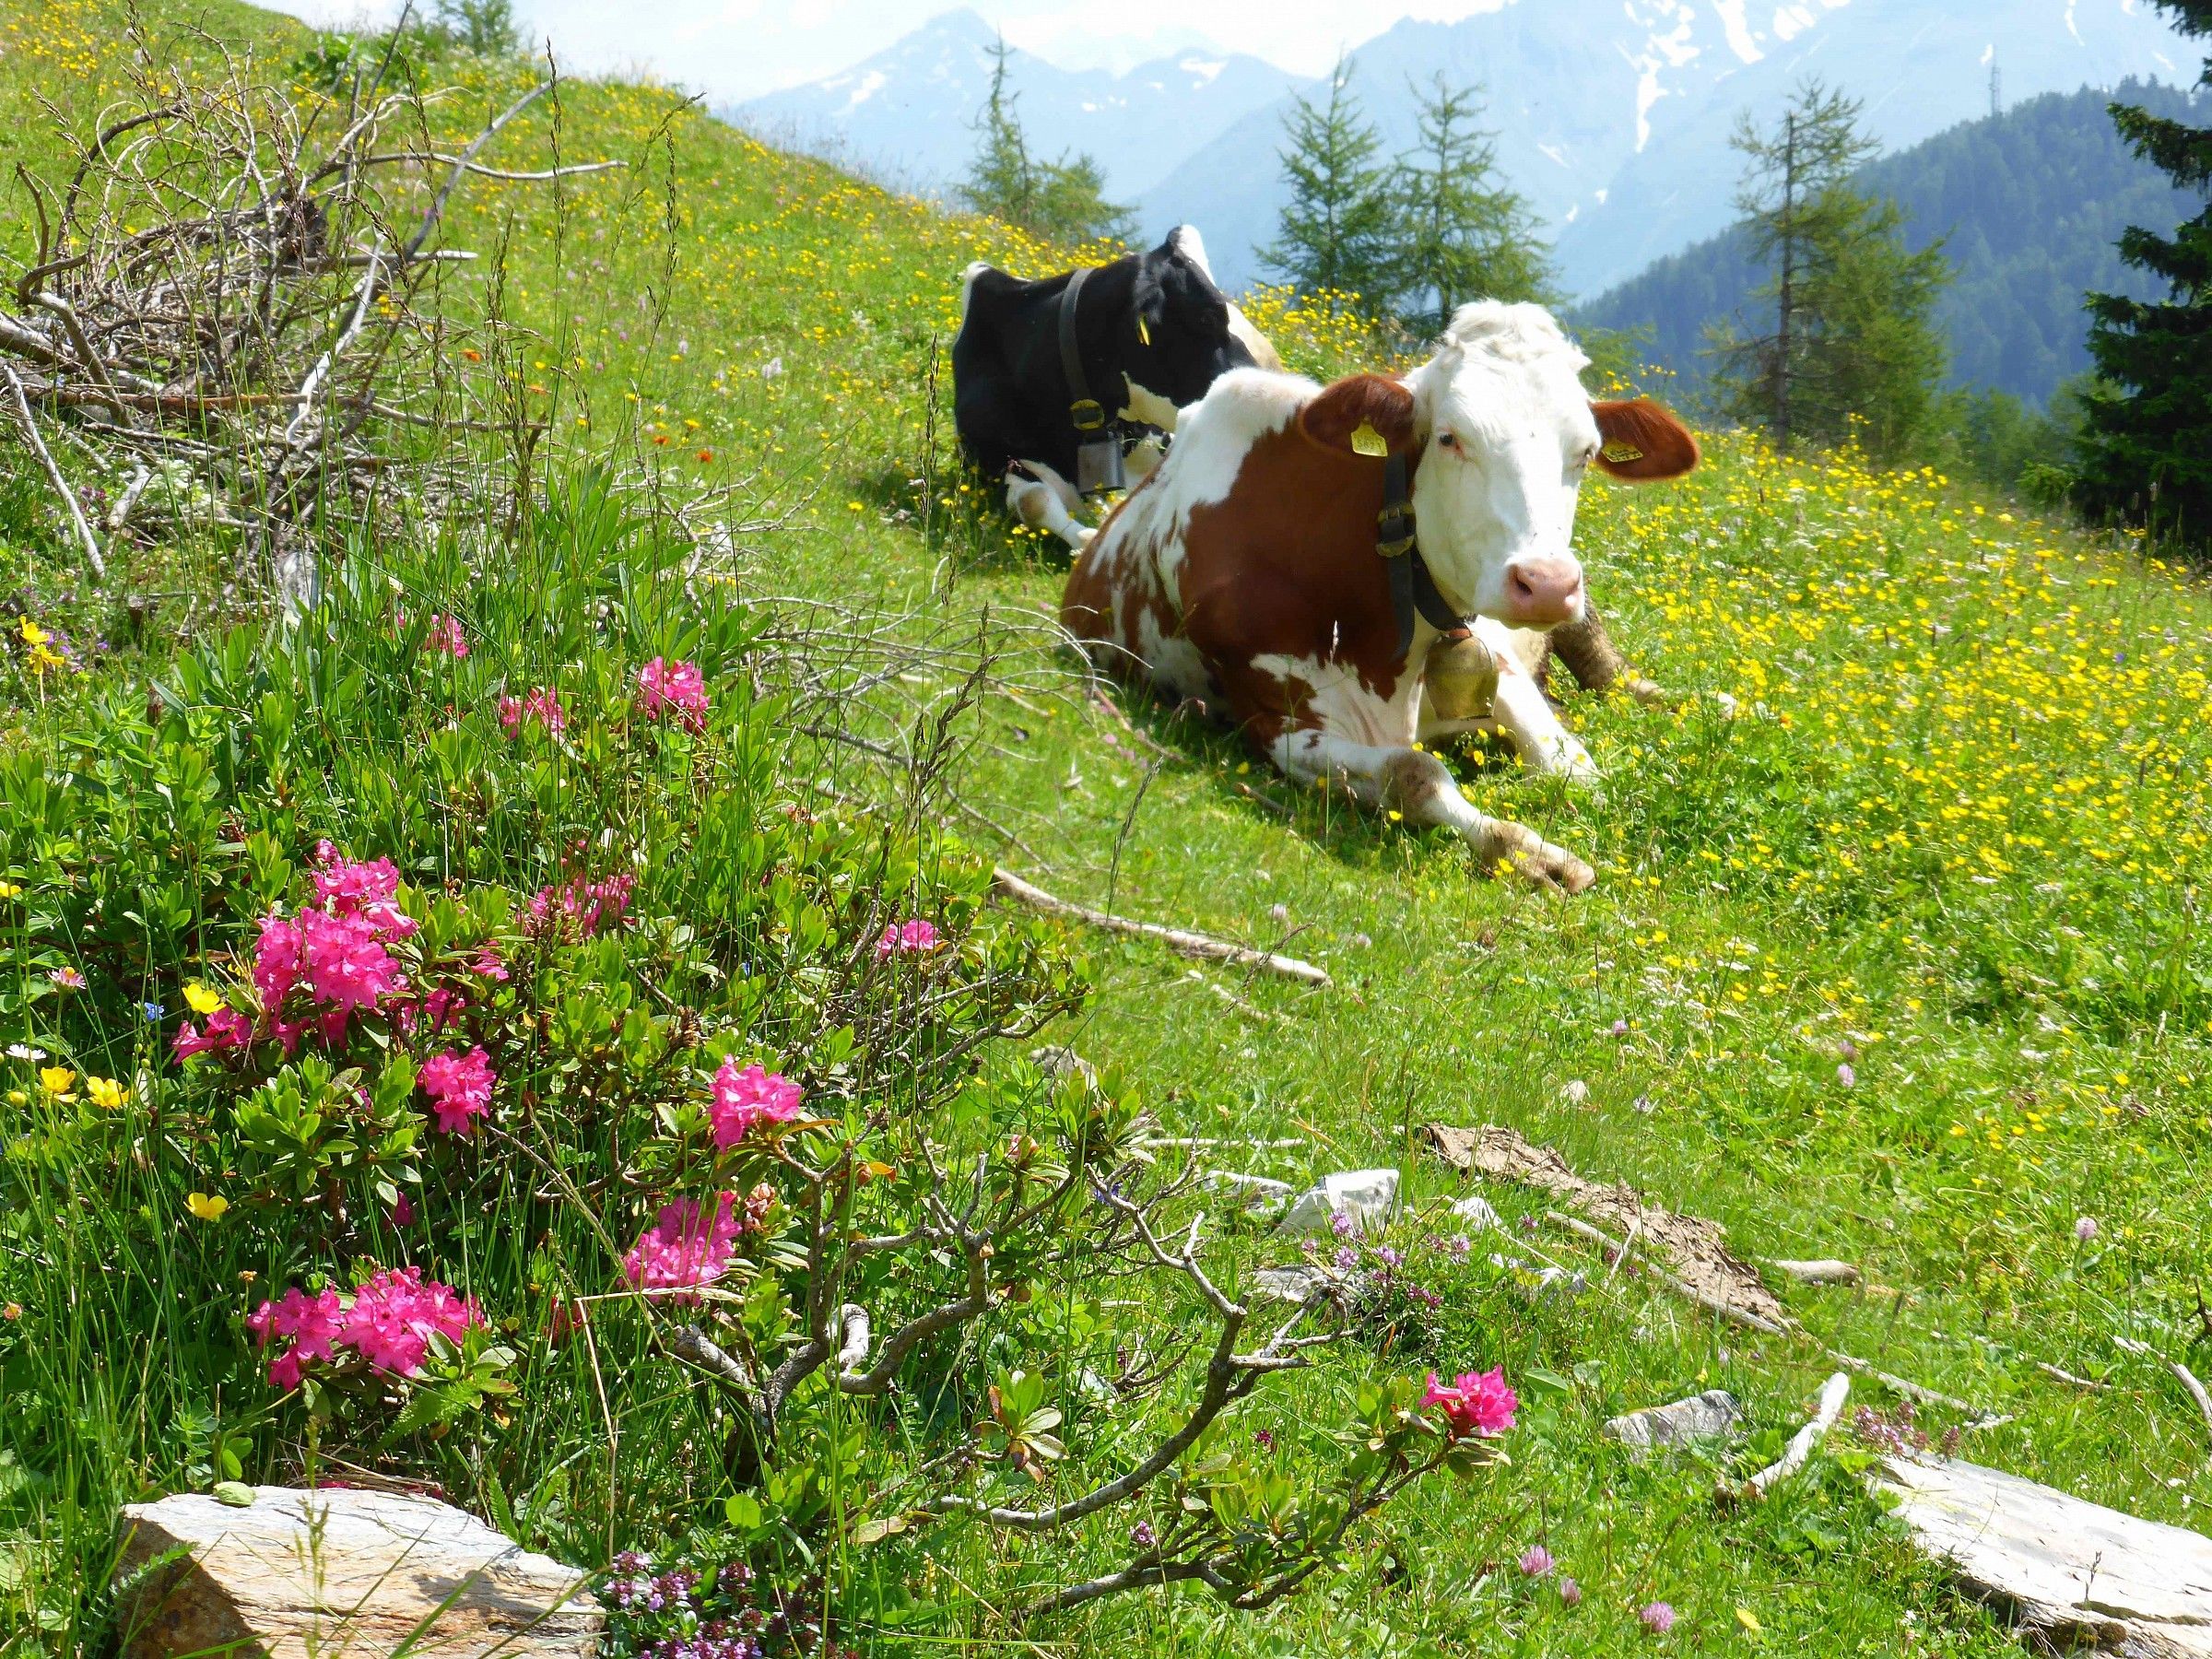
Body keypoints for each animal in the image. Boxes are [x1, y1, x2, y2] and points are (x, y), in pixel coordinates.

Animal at [1060, 301, 1699, 892]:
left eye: (1585, 452)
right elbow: (1414, 773)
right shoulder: (1274, 722)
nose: (1546, 583)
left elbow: (1574, 768)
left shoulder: (1496, 658)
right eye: (1449, 438)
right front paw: (1529, 851)